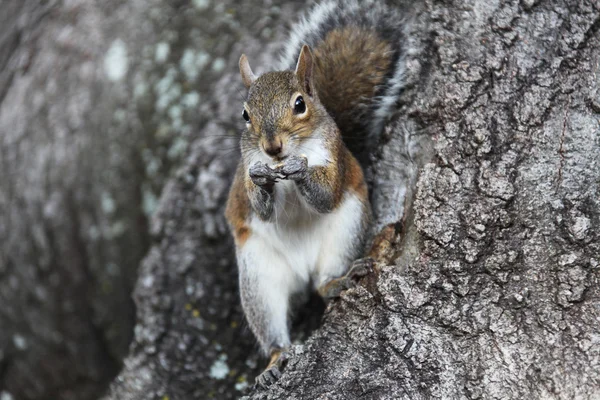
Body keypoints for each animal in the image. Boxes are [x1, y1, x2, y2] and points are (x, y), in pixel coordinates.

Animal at [225, 0, 408, 388]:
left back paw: (338, 281)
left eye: (299, 104)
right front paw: (262, 181)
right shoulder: (248, 173)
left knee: (325, 283)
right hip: (259, 275)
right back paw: (275, 360)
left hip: (345, 233)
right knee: (272, 327)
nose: (273, 147)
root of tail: (304, 271)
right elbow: (260, 207)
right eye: (245, 114)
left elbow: (325, 195)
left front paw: (302, 169)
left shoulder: (334, 158)